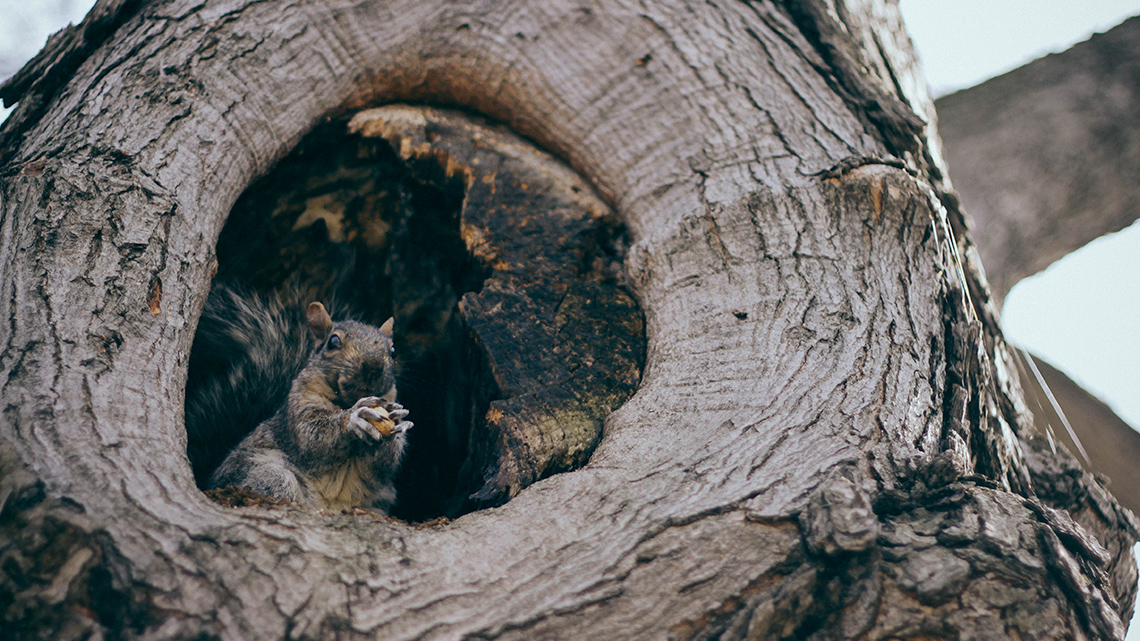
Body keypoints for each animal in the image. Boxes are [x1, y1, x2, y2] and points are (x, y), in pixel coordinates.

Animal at [189, 285, 413, 513]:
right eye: (333, 342)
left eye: (393, 351)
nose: (373, 365)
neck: (345, 403)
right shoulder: (299, 409)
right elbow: (313, 437)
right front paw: (353, 419)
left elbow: (383, 465)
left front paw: (397, 422)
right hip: (264, 472)